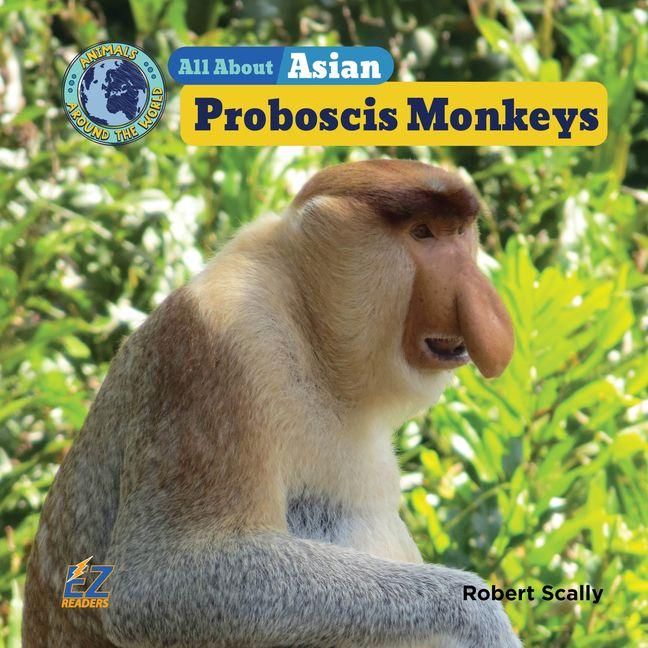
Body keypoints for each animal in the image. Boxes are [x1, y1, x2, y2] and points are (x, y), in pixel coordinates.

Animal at [23, 159, 518, 648]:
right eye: (422, 233)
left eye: (458, 232)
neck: (310, 331)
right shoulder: (219, 345)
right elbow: (158, 581)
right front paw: (483, 621)